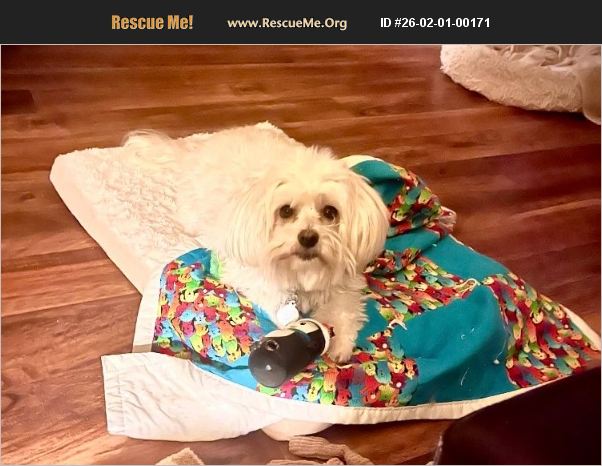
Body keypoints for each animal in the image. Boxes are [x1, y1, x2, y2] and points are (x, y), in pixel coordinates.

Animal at [125, 125, 389, 362]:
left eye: (330, 212)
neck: (302, 273)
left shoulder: (344, 283)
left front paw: (341, 345)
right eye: (285, 211)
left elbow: (346, 310)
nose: (308, 237)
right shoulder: (254, 278)